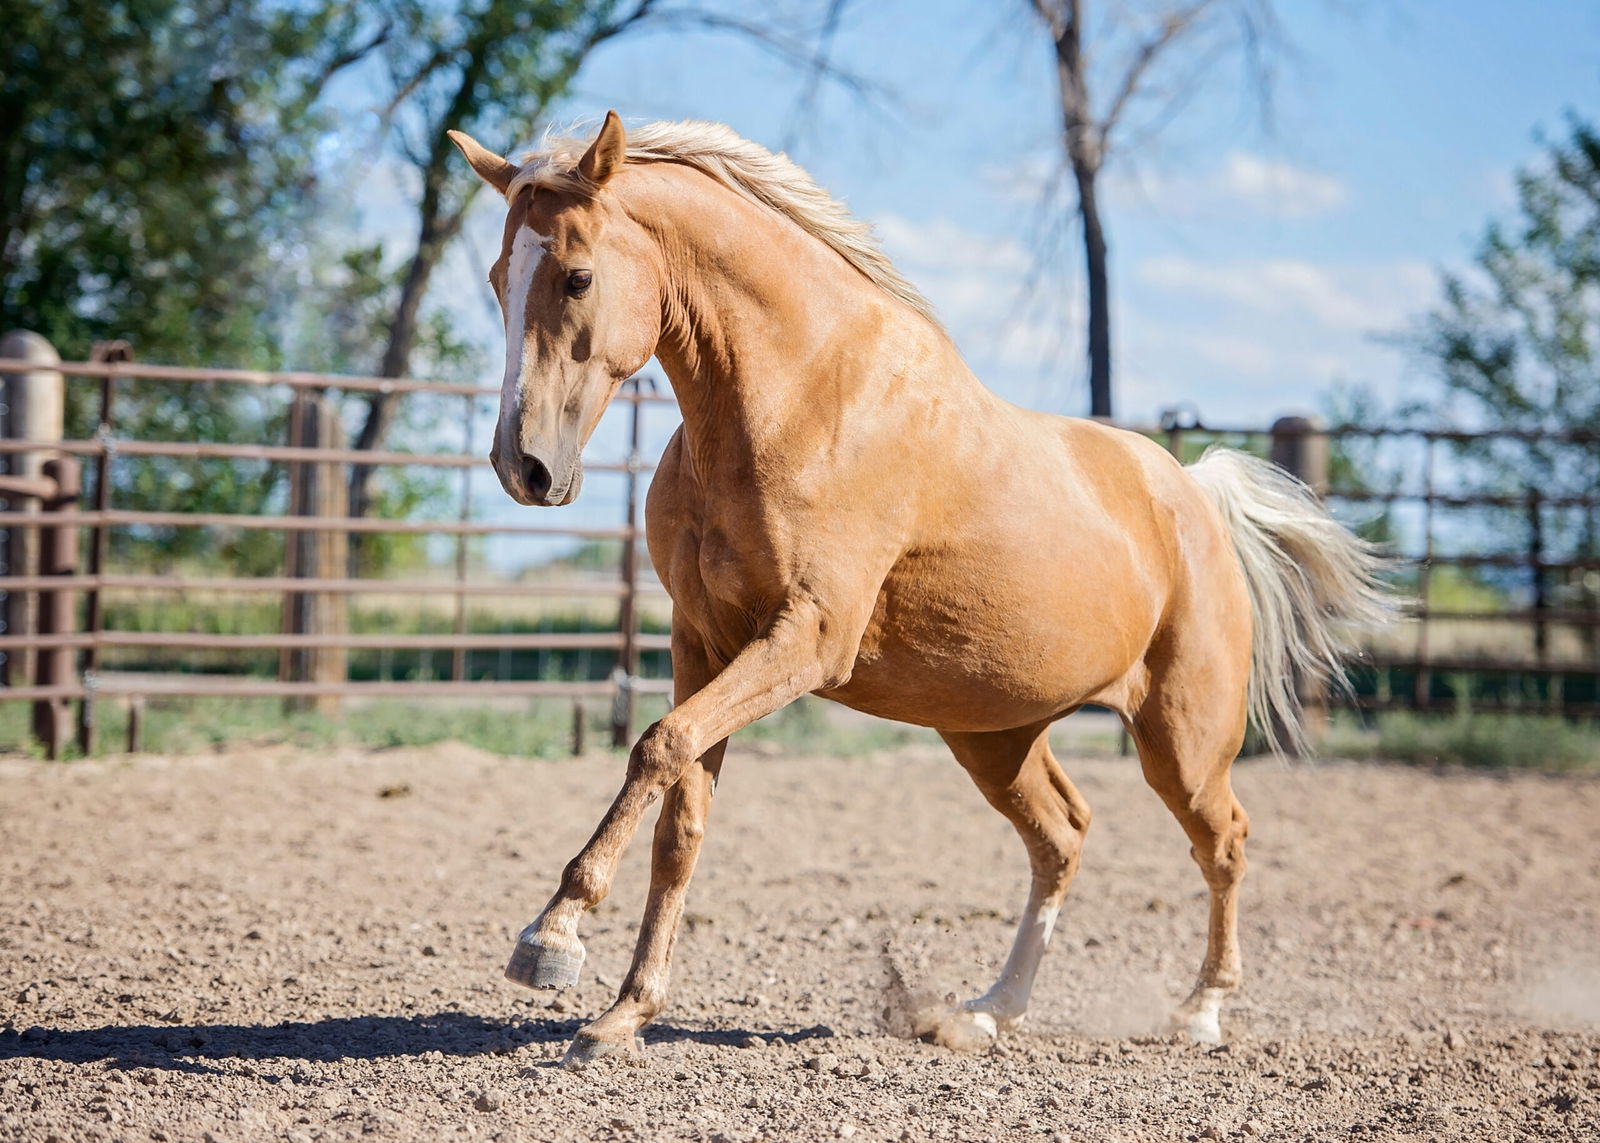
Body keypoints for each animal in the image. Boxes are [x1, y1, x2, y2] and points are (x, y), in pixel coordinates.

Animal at [444, 111, 1382, 1062]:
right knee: (1063, 837)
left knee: (1222, 840)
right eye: (496, 278)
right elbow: (680, 813)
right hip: (995, 737)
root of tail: (1192, 493)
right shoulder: (701, 643)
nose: (524, 468)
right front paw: (623, 1014)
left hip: (1180, 741)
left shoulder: (807, 638)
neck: (794, 398)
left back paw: (1198, 1012)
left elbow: (657, 749)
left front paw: (552, 937)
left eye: (578, 275)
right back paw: (986, 1011)